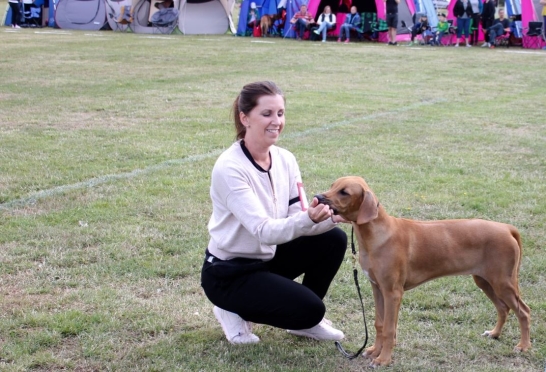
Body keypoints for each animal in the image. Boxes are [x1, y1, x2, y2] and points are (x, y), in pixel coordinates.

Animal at [316, 177, 528, 366]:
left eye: (344, 192)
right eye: (333, 185)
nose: (318, 197)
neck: (377, 234)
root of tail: (507, 228)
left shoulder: (393, 293)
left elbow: (389, 329)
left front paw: (383, 360)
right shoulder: (377, 288)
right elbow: (380, 324)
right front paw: (375, 351)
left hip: (503, 282)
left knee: (523, 311)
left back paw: (524, 346)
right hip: (484, 280)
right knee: (503, 308)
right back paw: (495, 333)